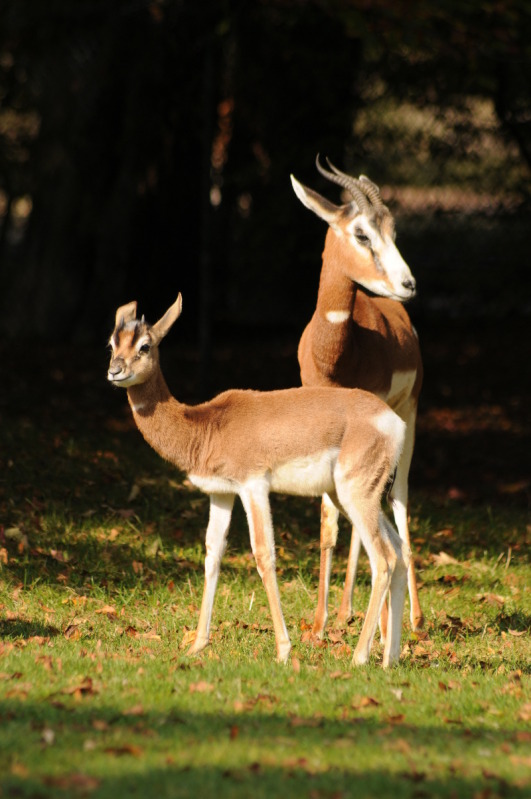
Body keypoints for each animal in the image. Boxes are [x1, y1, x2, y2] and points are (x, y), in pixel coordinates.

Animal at [107, 293, 410, 667]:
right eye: (112, 343)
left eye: (145, 345)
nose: (115, 371)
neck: (205, 427)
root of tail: (394, 423)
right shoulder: (221, 494)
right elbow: (212, 554)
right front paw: (196, 645)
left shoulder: (253, 486)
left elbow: (264, 554)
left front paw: (283, 649)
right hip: (353, 496)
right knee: (399, 552)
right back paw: (389, 659)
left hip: (357, 495)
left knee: (383, 560)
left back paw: (359, 657)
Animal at [291, 156, 423, 639]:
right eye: (362, 233)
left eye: (394, 230)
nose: (408, 283)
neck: (336, 354)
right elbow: (330, 521)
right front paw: (317, 624)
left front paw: (381, 625)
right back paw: (349, 611)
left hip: (407, 418)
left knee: (398, 499)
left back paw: (413, 619)